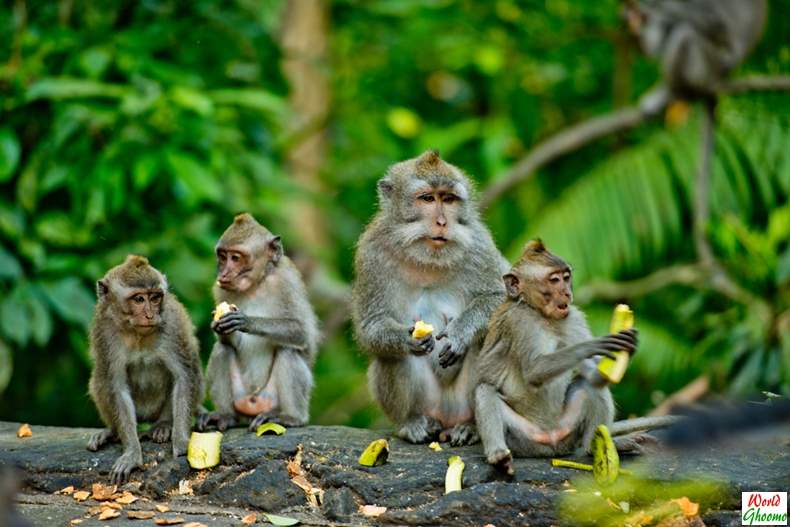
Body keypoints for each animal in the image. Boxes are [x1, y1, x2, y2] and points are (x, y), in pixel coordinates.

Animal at [87, 255, 204, 482]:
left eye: (155, 297)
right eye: (139, 299)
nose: (150, 315)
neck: (136, 333)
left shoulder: (172, 324)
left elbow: (184, 376)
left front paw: (181, 442)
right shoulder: (105, 331)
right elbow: (116, 387)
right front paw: (132, 453)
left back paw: (164, 426)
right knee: (99, 379)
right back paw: (110, 431)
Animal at [196, 213, 320, 434]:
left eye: (236, 258)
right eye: (222, 256)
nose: (223, 274)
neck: (256, 285)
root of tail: (253, 404)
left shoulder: (287, 281)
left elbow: (301, 332)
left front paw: (246, 321)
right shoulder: (220, 290)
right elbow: (227, 342)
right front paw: (220, 327)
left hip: (271, 398)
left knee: (288, 351)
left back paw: (291, 417)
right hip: (241, 397)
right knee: (222, 350)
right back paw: (225, 415)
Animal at [352, 148, 510, 446]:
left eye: (448, 199)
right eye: (427, 198)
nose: (442, 222)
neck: (427, 258)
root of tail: (446, 417)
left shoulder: (480, 245)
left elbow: (499, 299)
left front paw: (459, 333)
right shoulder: (371, 253)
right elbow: (371, 325)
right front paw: (406, 339)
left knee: (486, 340)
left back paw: (471, 426)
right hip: (428, 403)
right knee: (390, 356)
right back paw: (411, 423)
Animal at [476, 241, 648, 476]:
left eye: (566, 277)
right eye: (554, 280)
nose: (566, 293)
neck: (542, 315)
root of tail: (551, 442)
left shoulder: (573, 317)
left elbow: (594, 377)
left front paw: (629, 346)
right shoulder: (519, 322)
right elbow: (534, 370)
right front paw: (592, 346)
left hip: (568, 430)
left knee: (591, 386)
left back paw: (593, 447)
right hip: (524, 439)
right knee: (485, 390)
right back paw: (499, 456)